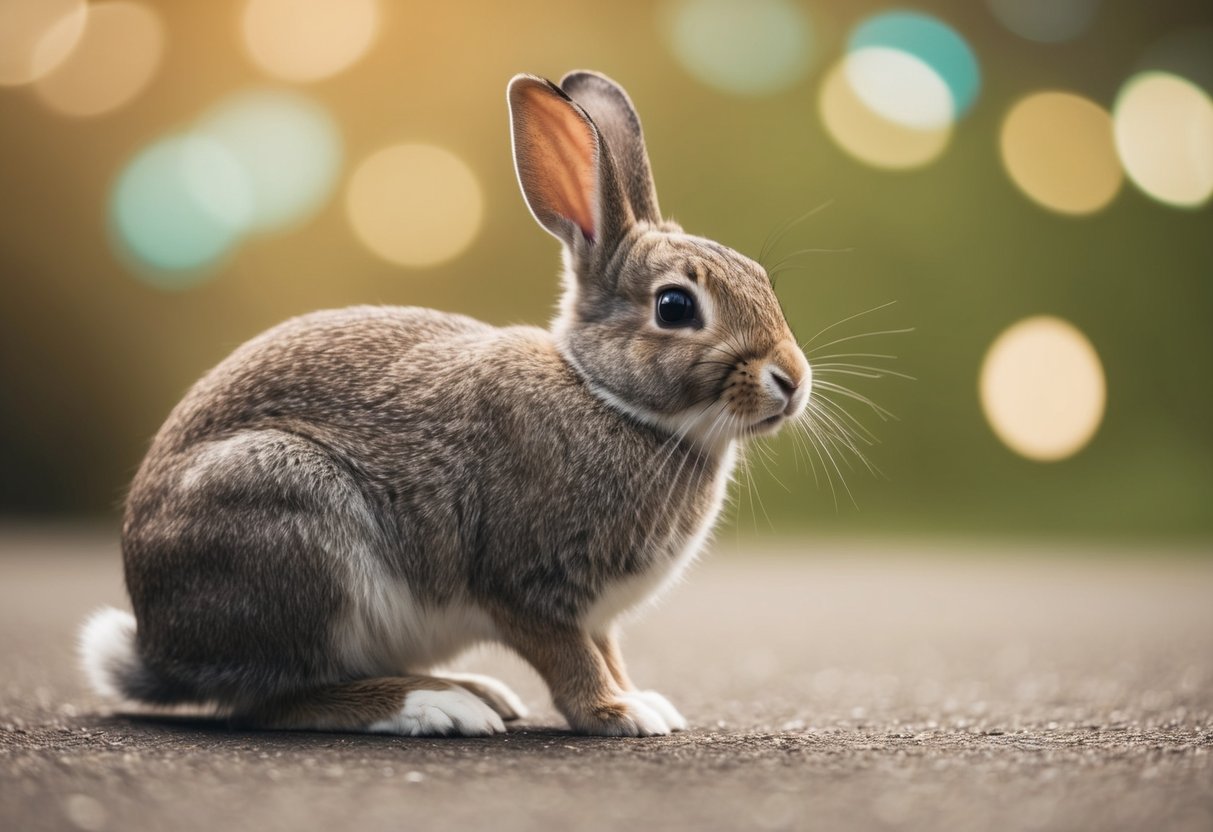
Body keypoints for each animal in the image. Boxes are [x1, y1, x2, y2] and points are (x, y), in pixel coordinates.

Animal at [79, 70, 811, 737]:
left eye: (762, 278)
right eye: (675, 306)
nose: (792, 380)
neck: (607, 397)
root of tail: (160, 647)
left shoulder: (594, 614)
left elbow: (607, 653)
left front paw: (642, 700)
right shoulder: (527, 588)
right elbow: (572, 660)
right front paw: (618, 714)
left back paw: (473, 691)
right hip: (291, 528)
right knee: (274, 702)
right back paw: (435, 706)